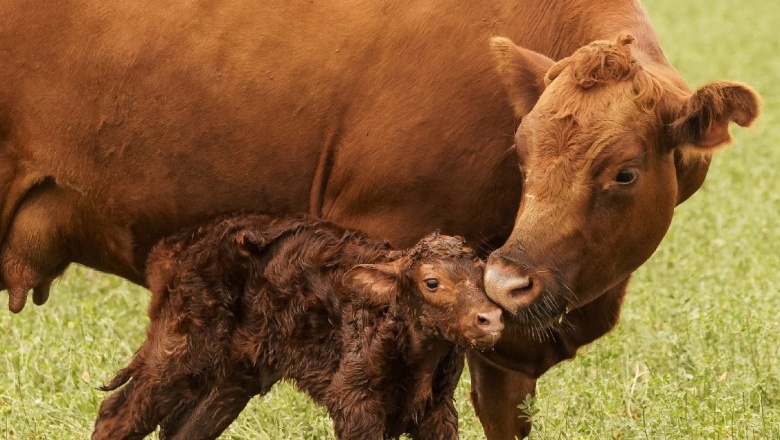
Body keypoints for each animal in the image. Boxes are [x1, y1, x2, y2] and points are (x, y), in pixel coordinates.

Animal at [93, 213, 506, 440]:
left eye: (482, 275)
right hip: (181, 350)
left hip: (231, 379)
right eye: (431, 282)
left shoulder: (438, 411)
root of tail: (171, 249)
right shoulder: (355, 402)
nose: (491, 318)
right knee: (116, 414)